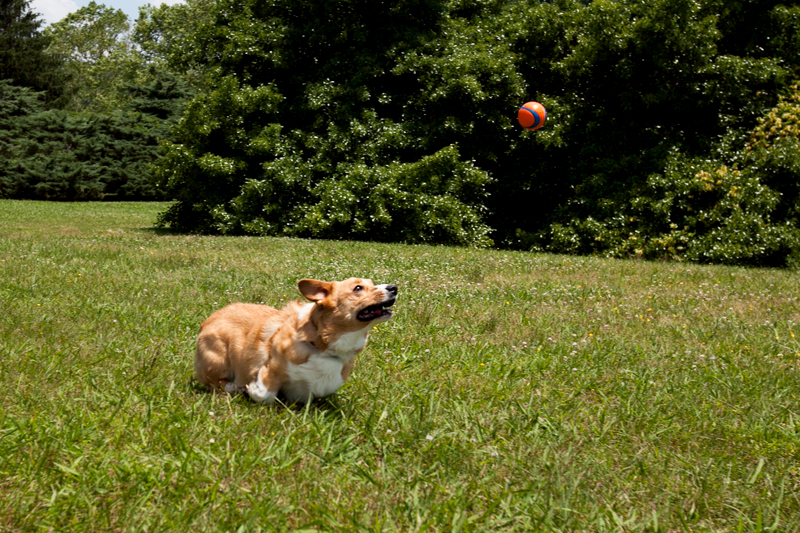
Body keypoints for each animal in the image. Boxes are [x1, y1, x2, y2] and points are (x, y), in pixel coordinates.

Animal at [194, 278, 394, 404]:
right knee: (217, 384)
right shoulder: (273, 368)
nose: (394, 288)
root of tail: (209, 319)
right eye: (358, 288)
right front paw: (251, 389)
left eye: (371, 283)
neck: (320, 346)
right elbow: (264, 394)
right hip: (218, 359)